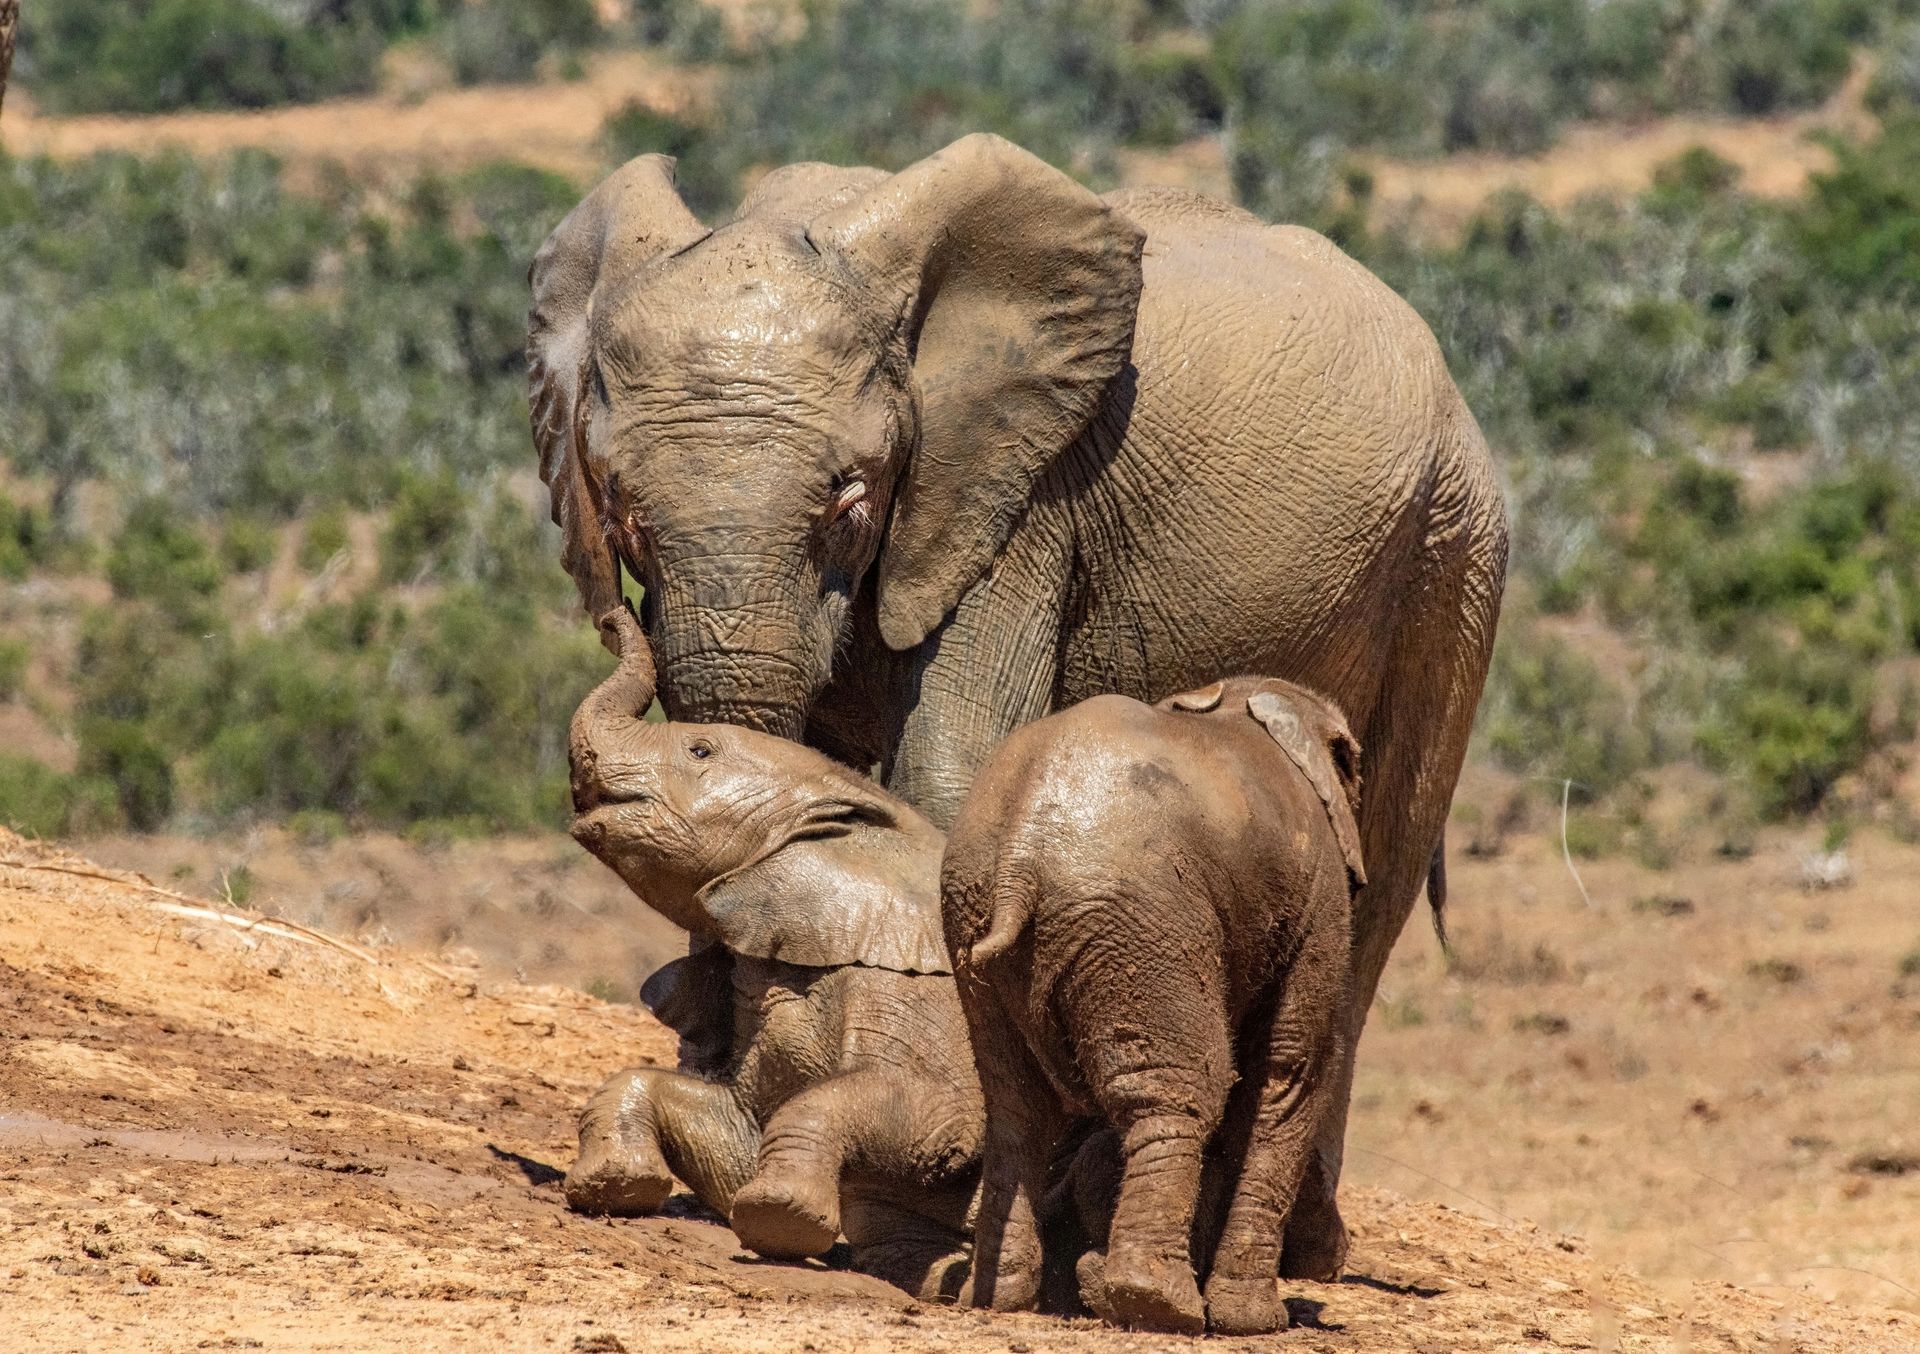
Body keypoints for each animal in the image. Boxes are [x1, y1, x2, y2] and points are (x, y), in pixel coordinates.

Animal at [561, 605, 983, 1300]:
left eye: (699, 750)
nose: (611, 613)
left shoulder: (905, 995)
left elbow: (941, 1118)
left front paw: (779, 1220)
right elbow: (729, 1127)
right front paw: (612, 1187)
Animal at [940, 677, 1364, 1334]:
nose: (1337, 1263)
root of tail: (1020, 856)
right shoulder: (1319, 898)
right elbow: (1290, 1071)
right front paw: (1256, 1323)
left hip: (973, 915)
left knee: (1015, 1107)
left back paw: (1000, 1298)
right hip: (1142, 918)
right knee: (1183, 1091)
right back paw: (1157, 1303)